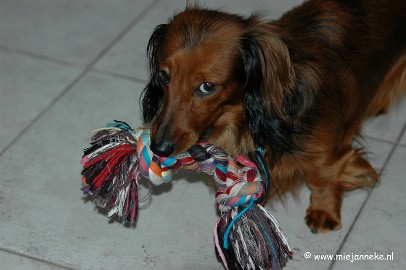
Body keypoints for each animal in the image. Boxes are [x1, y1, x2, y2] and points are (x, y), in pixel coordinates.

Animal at [140, 0, 406, 232]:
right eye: (164, 76)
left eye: (207, 86)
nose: (159, 147)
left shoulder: (327, 152)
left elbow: (322, 178)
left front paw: (324, 211)